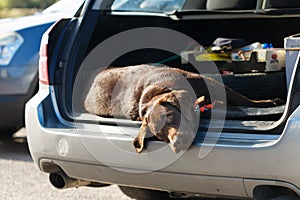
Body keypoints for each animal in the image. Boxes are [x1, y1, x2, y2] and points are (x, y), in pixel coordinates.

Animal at [84, 65, 282, 154]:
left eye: (170, 116)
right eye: (159, 136)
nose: (176, 145)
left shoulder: (212, 83)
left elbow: (243, 99)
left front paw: (267, 102)